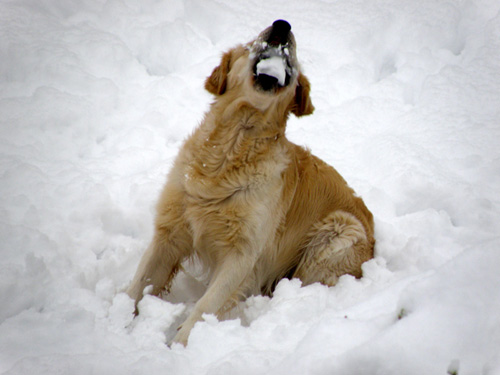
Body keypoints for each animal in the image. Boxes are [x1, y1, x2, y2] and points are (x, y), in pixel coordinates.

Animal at [128, 19, 376, 346]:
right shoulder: (169, 232)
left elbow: (206, 305)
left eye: (294, 58)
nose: (282, 25)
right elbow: (137, 285)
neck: (229, 152)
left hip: (338, 232)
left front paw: (180, 346)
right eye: (250, 44)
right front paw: (115, 321)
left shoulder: (242, 254)